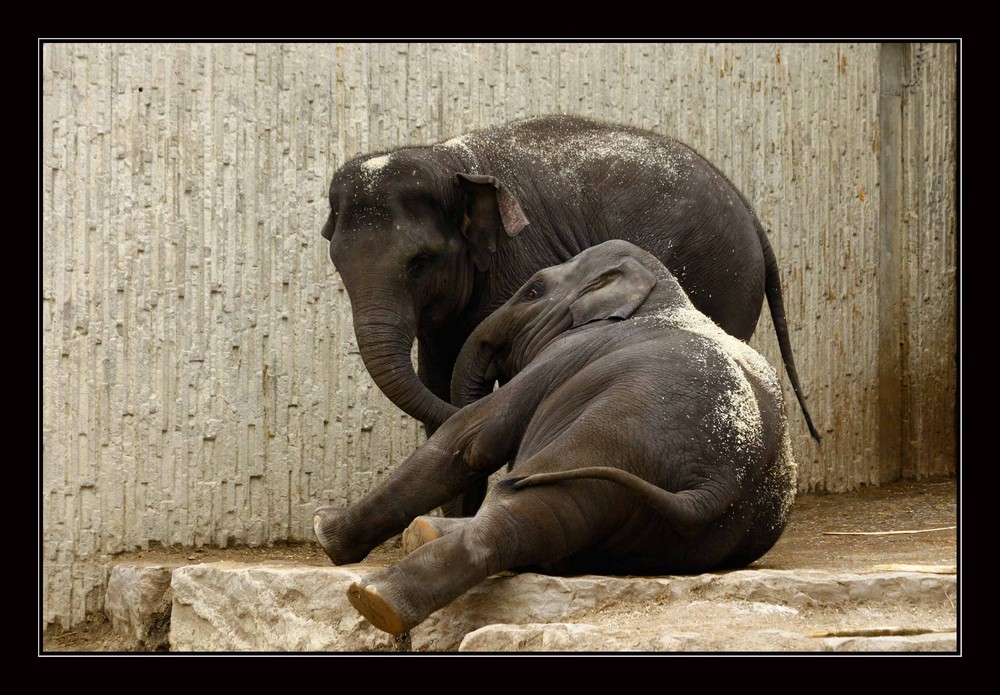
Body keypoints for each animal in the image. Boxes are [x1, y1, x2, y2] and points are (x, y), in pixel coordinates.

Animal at [312, 239, 796, 636]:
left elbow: (469, 438)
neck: (662, 292)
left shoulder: (561, 355)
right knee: (552, 534)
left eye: (533, 291)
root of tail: (717, 482)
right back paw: (419, 543)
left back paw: (375, 599)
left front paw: (324, 529)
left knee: (518, 511)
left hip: (617, 435)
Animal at [322, 115, 820, 452]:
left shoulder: (519, 262)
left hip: (721, 274)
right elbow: (436, 378)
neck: (450, 159)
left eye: (419, 262)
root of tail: (747, 207)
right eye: (337, 263)